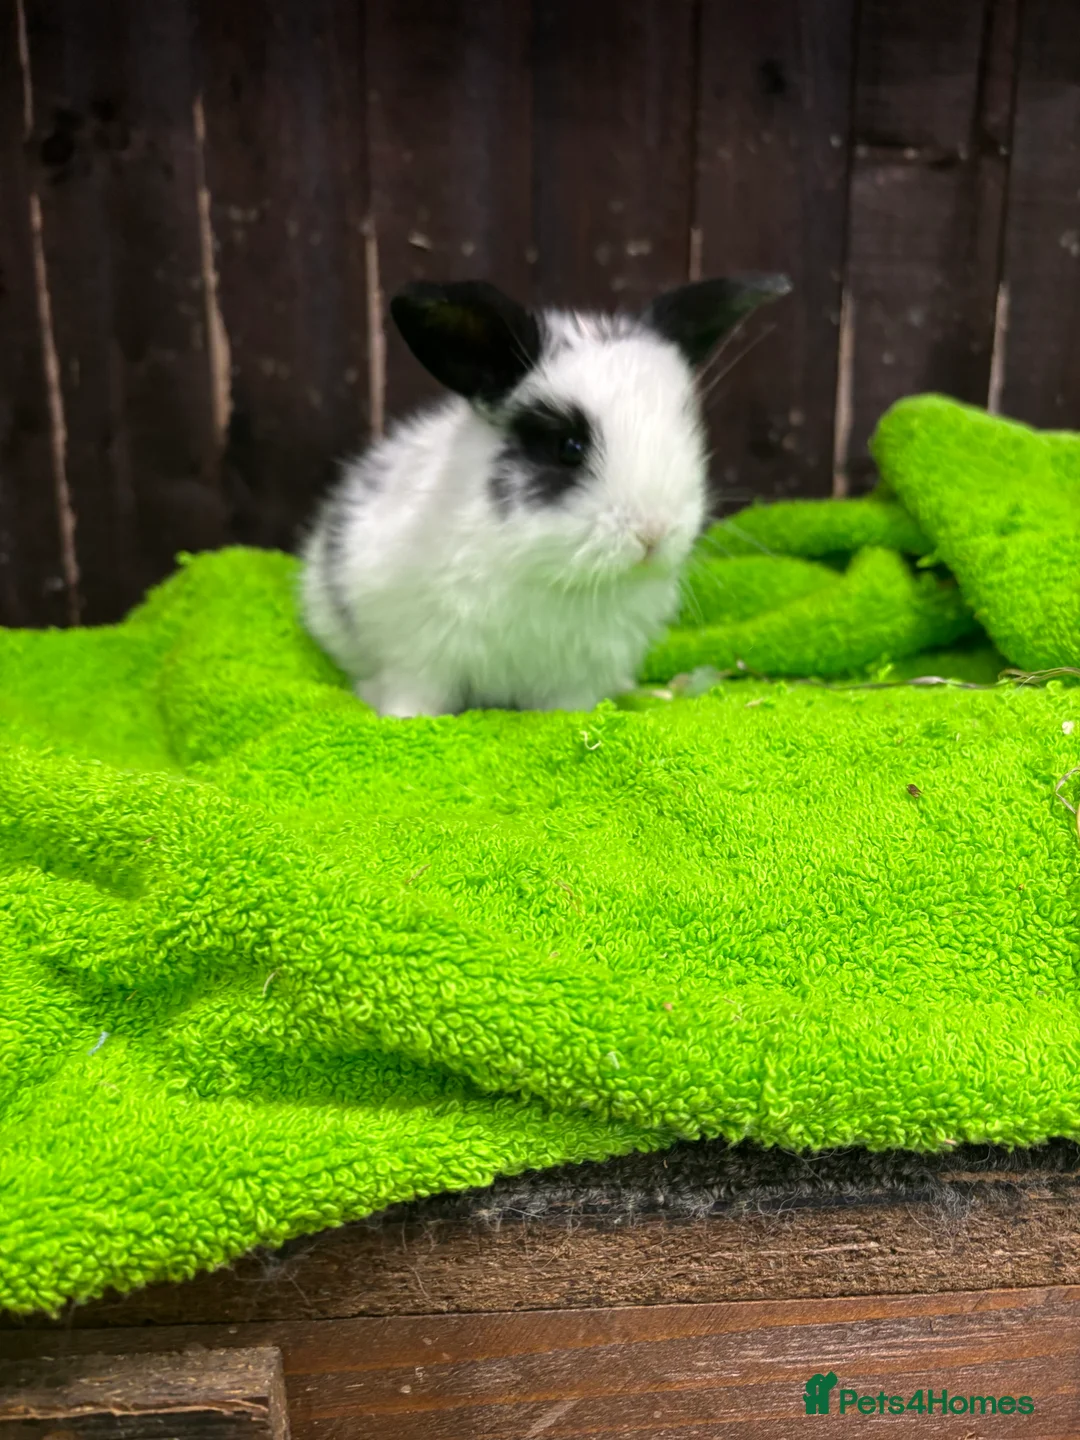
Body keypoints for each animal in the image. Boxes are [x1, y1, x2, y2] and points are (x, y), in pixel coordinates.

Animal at [299, 273, 791, 718]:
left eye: (688, 433)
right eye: (568, 448)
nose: (653, 534)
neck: (551, 571)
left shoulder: (578, 675)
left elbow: (565, 710)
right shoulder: (417, 658)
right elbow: (416, 696)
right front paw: (404, 721)